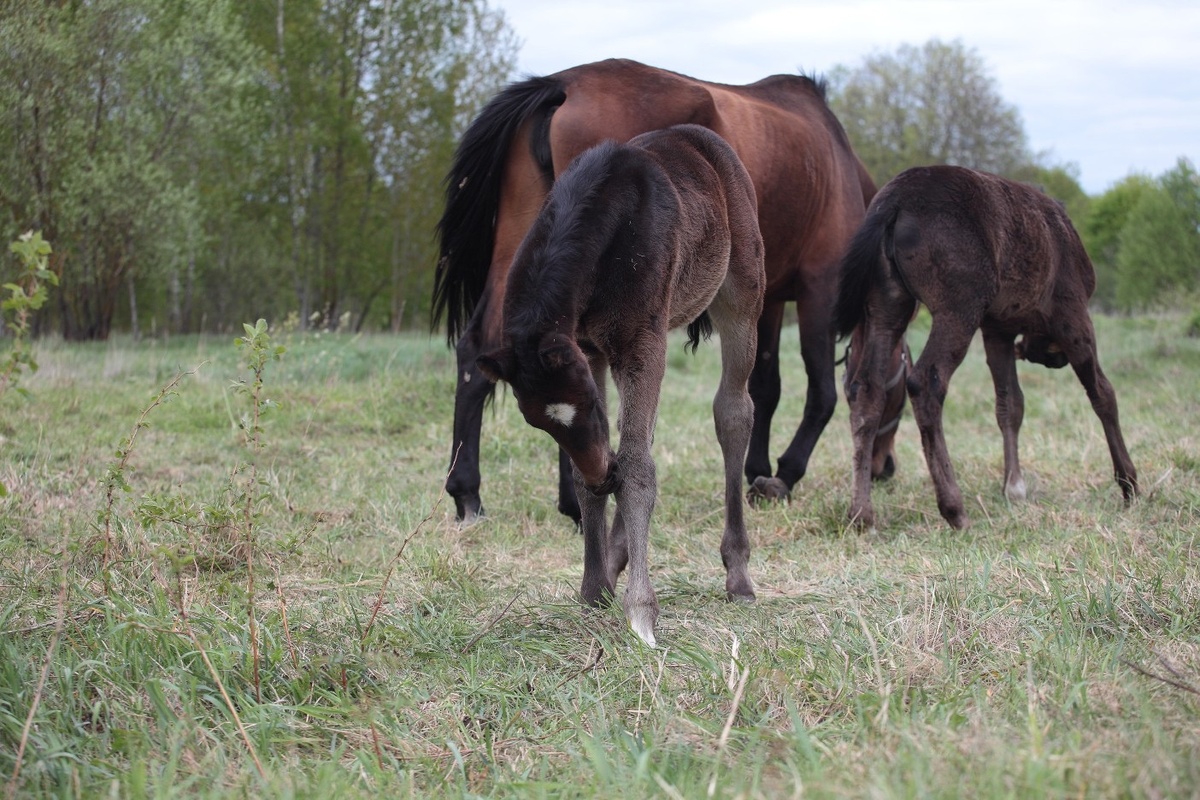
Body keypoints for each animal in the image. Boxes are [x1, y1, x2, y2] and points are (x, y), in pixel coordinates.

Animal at [434, 58, 907, 524]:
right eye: (898, 392)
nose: (885, 468)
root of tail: (560, 84)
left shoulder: (767, 298)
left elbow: (764, 387)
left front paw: (755, 470)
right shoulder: (819, 289)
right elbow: (821, 394)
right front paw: (784, 474)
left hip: (522, 253)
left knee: (476, 353)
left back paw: (469, 494)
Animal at [475, 124, 765, 647]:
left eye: (589, 404)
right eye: (537, 424)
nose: (601, 476)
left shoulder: (639, 345)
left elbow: (637, 467)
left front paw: (641, 611)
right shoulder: (591, 351)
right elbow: (597, 468)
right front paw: (594, 590)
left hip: (740, 298)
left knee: (732, 413)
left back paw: (738, 576)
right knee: (641, 438)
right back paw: (616, 558)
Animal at [834, 165, 1138, 530]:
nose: (1047, 356)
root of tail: (894, 200)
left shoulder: (997, 331)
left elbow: (1010, 404)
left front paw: (1014, 487)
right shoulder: (1072, 315)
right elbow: (1102, 394)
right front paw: (1128, 482)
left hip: (886, 309)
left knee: (867, 389)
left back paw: (861, 513)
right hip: (958, 309)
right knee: (926, 382)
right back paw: (954, 508)